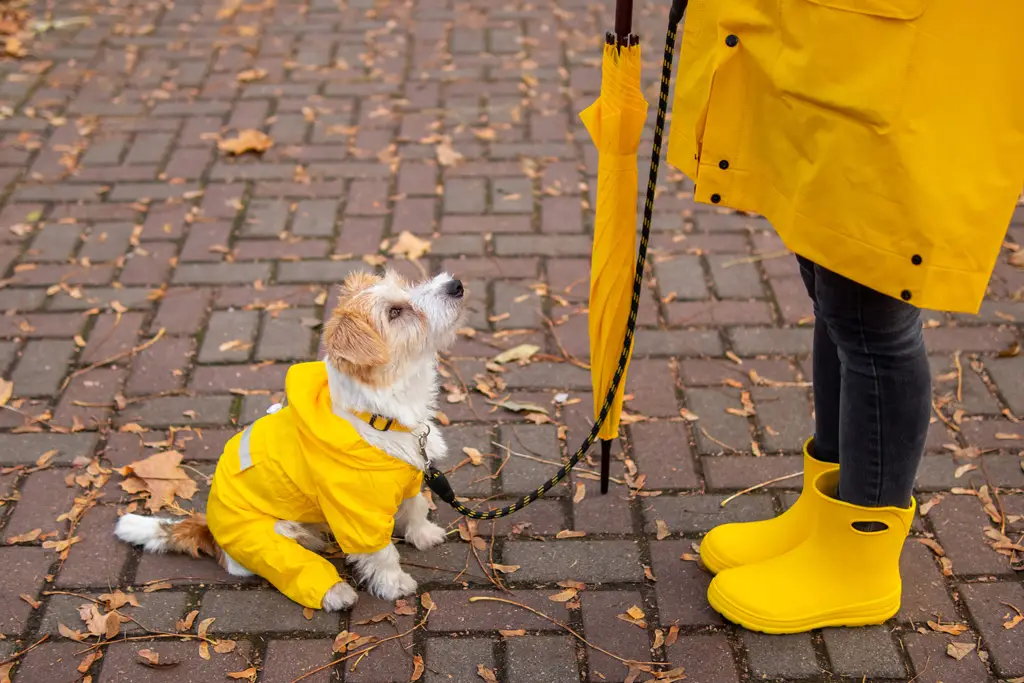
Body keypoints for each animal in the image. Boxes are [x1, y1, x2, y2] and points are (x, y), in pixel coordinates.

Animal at [115, 270, 464, 610]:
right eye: (395, 312)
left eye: (406, 284)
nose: (456, 285)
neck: (379, 415)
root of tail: (210, 530)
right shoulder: (357, 516)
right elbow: (382, 553)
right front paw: (394, 585)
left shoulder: (412, 478)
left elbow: (416, 507)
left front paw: (424, 535)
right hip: (269, 539)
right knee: (291, 565)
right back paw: (336, 592)